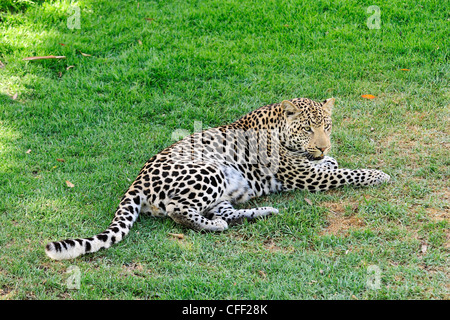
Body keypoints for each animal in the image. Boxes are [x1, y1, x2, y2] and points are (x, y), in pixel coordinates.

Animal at [46, 97, 390, 260]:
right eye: (307, 128)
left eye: (327, 126)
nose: (323, 145)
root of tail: (138, 180)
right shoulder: (303, 176)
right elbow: (346, 173)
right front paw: (379, 174)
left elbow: (331, 166)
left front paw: (330, 158)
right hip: (210, 171)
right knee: (179, 211)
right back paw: (216, 225)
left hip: (227, 189)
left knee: (223, 210)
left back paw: (260, 213)